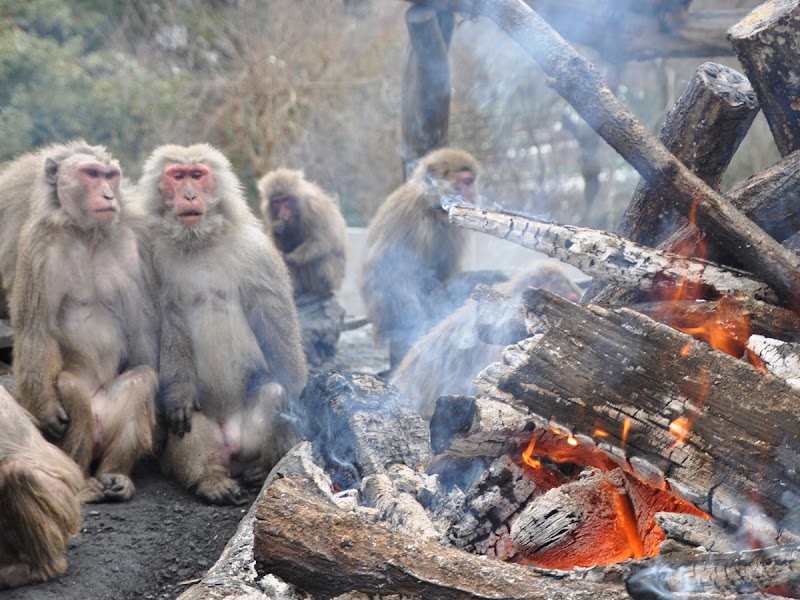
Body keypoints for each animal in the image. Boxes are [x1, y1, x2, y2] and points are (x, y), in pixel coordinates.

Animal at [139, 143, 308, 504]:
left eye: (197, 175)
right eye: (177, 177)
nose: (189, 195)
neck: (199, 241)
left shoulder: (257, 253)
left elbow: (273, 319)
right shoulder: (151, 256)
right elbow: (168, 320)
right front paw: (178, 398)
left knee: (274, 393)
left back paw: (260, 468)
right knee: (188, 419)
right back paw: (212, 480)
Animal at [256, 168, 344, 298]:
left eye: (285, 200)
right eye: (277, 202)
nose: (283, 213)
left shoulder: (314, 207)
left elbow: (323, 241)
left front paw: (288, 258)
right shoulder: (271, 216)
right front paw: (278, 230)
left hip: (333, 278)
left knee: (319, 258)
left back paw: (320, 292)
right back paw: (297, 292)